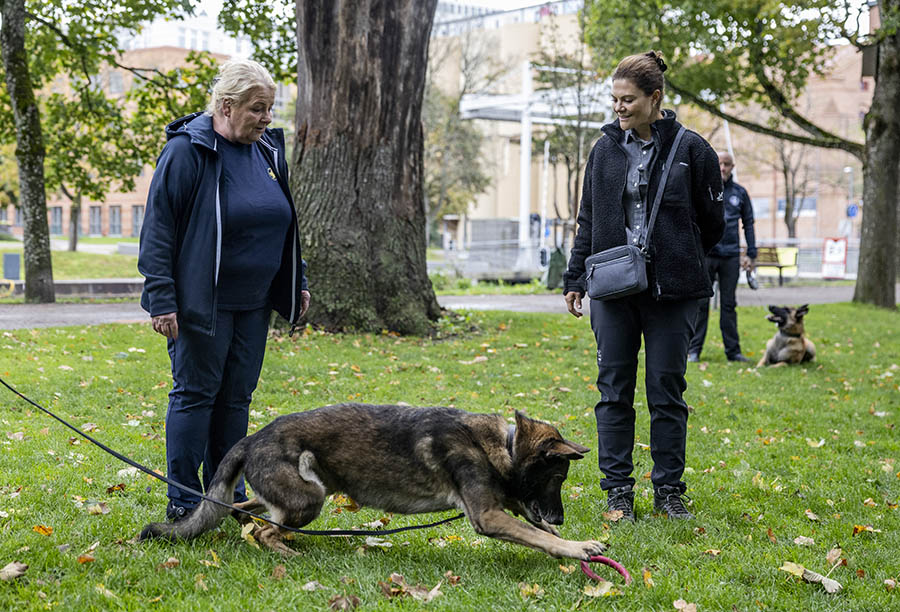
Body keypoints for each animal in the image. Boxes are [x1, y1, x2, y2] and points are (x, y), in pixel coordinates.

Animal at [139, 404, 604, 560]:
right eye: (558, 476)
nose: (562, 518)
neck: (503, 447)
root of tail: (252, 437)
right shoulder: (490, 515)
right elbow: (538, 534)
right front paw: (574, 548)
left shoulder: (505, 505)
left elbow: (538, 529)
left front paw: (580, 542)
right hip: (310, 498)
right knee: (265, 528)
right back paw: (286, 551)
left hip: (306, 493)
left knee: (247, 508)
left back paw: (251, 524)